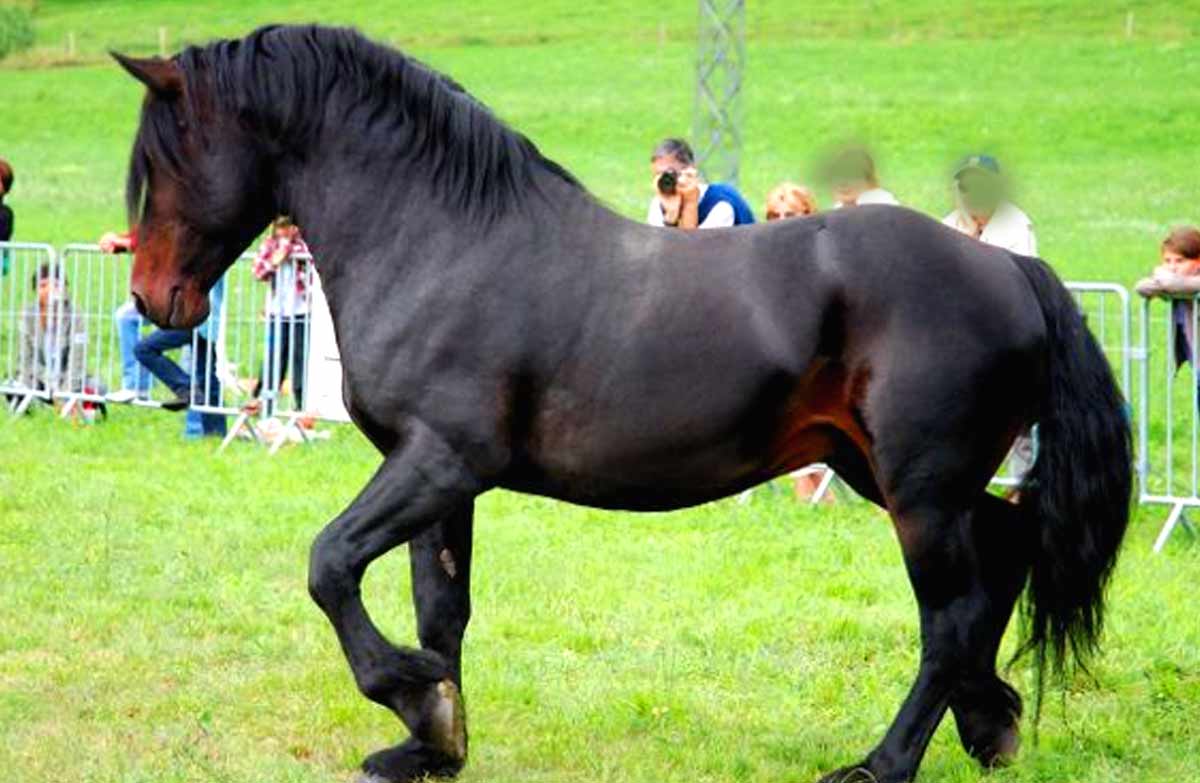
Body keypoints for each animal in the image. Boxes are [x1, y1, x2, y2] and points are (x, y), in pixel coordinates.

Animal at [113, 25, 1131, 783]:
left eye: (164, 160)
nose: (154, 300)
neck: (443, 239)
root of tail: (1007, 268)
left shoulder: (439, 460)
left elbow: (330, 564)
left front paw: (412, 693)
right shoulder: (436, 476)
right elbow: (439, 608)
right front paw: (432, 737)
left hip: (919, 489)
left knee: (951, 613)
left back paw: (882, 762)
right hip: (883, 471)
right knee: (1002, 560)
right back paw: (989, 724)